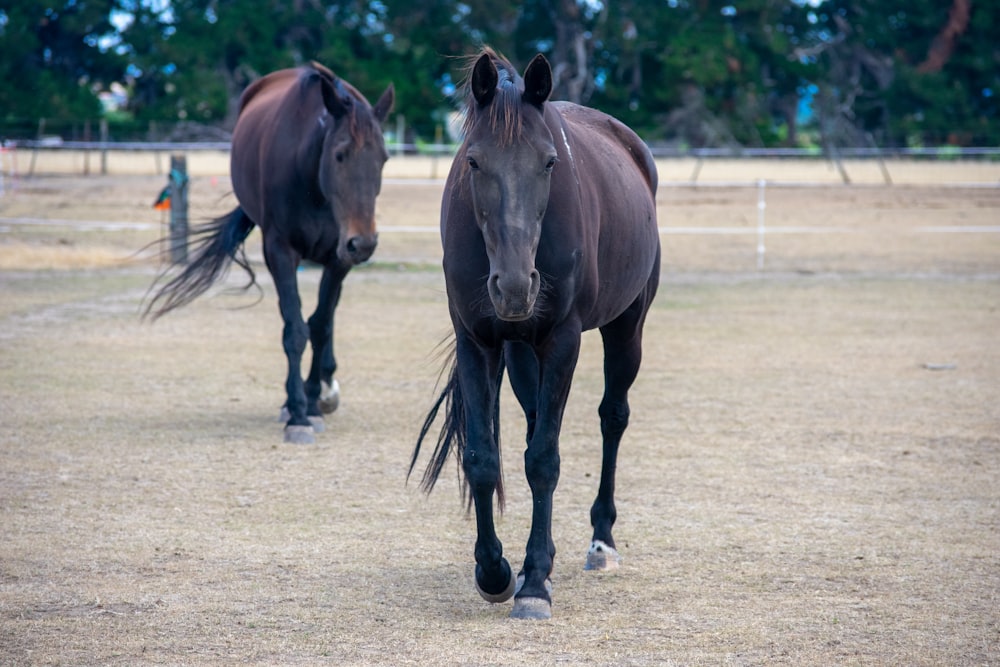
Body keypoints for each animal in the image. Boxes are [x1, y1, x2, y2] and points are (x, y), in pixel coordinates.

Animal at [146, 62, 394, 444]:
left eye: (383, 158)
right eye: (340, 154)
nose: (363, 243)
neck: (312, 183)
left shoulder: (338, 259)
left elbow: (320, 325)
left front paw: (312, 400)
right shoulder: (280, 252)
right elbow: (295, 330)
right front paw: (298, 414)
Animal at [410, 51, 660, 620]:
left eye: (549, 163)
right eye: (473, 162)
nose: (515, 286)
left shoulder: (564, 339)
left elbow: (545, 461)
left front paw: (535, 586)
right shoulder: (476, 341)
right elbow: (484, 459)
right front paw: (497, 571)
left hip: (626, 326)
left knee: (612, 418)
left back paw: (600, 543)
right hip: (522, 350)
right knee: (530, 426)